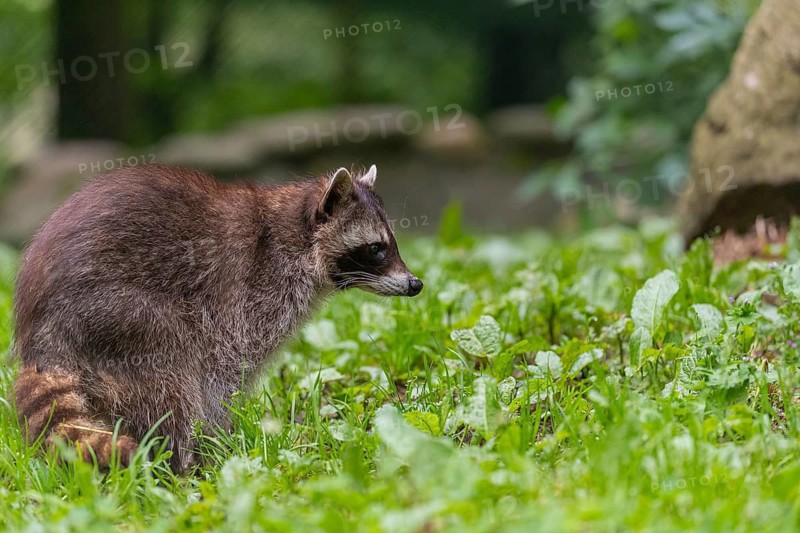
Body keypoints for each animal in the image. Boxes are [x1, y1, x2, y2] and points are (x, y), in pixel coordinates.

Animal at [12, 164, 422, 471]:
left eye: (391, 244)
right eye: (376, 249)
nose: (415, 284)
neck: (296, 234)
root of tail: (41, 339)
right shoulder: (248, 297)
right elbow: (223, 374)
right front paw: (217, 442)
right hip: (120, 315)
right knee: (170, 377)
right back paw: (177, 464)